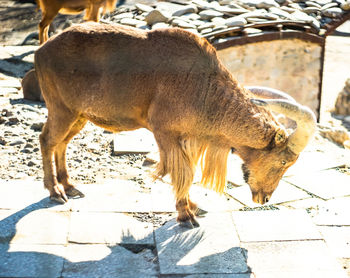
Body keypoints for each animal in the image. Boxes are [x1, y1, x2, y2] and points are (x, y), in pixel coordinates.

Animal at [34, 22, 316, 228]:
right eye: (283, 161)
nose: (264, 197)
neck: (204, 89)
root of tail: (42, 51)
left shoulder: (188, 139)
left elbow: (188, 173)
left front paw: (194, 207)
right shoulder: (166, 134)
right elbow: (182, 174)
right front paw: (185, 216)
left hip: (78, 115)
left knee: (62, 144)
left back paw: (70, 186)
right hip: (61, 109)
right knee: (47, 140)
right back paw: (55, 191)